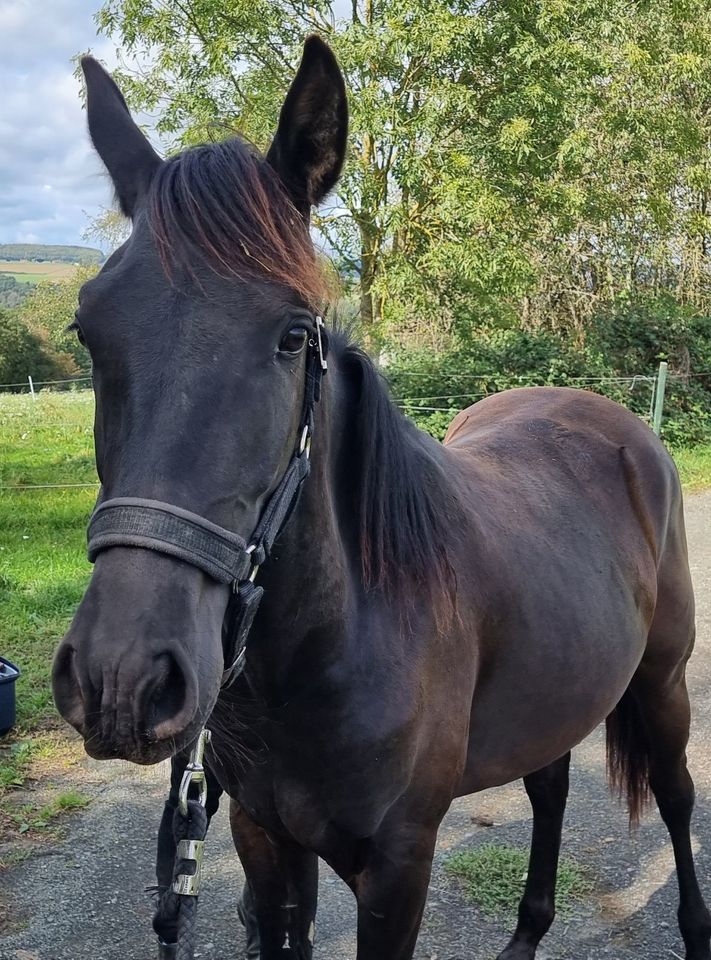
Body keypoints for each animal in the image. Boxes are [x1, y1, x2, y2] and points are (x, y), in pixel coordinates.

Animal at [52, 33, 708, 956]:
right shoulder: (264, 840)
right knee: (548, 787)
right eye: (88, 329)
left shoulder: (397, 869)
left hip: (662, 680)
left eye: (294, 335)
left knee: (677, 797)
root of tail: (614, 421)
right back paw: (526, 933)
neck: (339, 640)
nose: (122, 678)